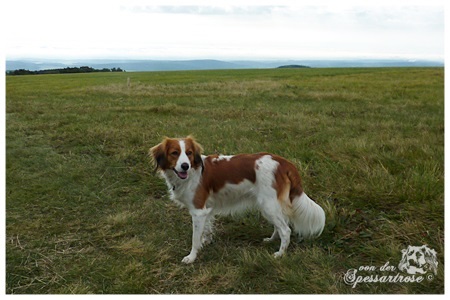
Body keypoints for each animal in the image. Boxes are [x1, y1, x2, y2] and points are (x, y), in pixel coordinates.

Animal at [149, 136, 326, 262]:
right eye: (174, 153)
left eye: (189, 153)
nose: (185, 166)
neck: (193, 171)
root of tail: (283, 162)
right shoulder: (207, 209)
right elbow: (206, 229)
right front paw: (206, 242)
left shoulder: (198, 211)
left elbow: (195, 237)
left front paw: (191, 257)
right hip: (269, 206)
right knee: (280, 225)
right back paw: (271, 240)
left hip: (268, 205)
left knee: (286, 230)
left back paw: (280, 254)